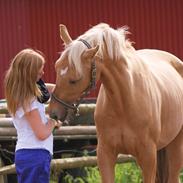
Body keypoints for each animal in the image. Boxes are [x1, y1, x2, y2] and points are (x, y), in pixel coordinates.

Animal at [49, 23, 183, 182]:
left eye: (75, 79)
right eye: (56, 67)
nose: (53, 112)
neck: (125, 102)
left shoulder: (148, 156)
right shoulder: (105, 154)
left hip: (175, 147)